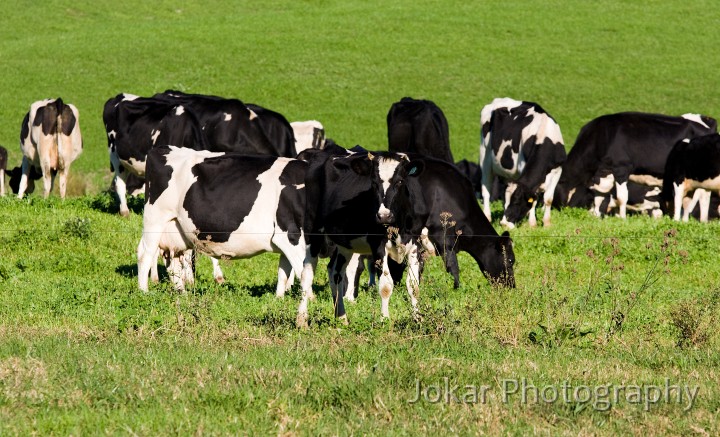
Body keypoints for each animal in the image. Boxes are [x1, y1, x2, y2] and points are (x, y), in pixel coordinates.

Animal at [478, 98, 568, 228]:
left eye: (516, 202)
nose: (504, 224)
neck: (543, 135)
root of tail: (498, 100)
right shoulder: (522, 166)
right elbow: (534, 200)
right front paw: (532, 224)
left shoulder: (557, 170)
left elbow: (548, 199)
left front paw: (546, 223)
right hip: (484, 157)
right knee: (486, 190)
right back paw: (487, 216)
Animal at [552, 110, 716, 216]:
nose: (559, 211)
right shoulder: (604, 171)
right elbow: (600, 194)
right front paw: (596, 215)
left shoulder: (621, 168)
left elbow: (621, 197)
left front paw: (622, 218)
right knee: (703, 196)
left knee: (701, 196)